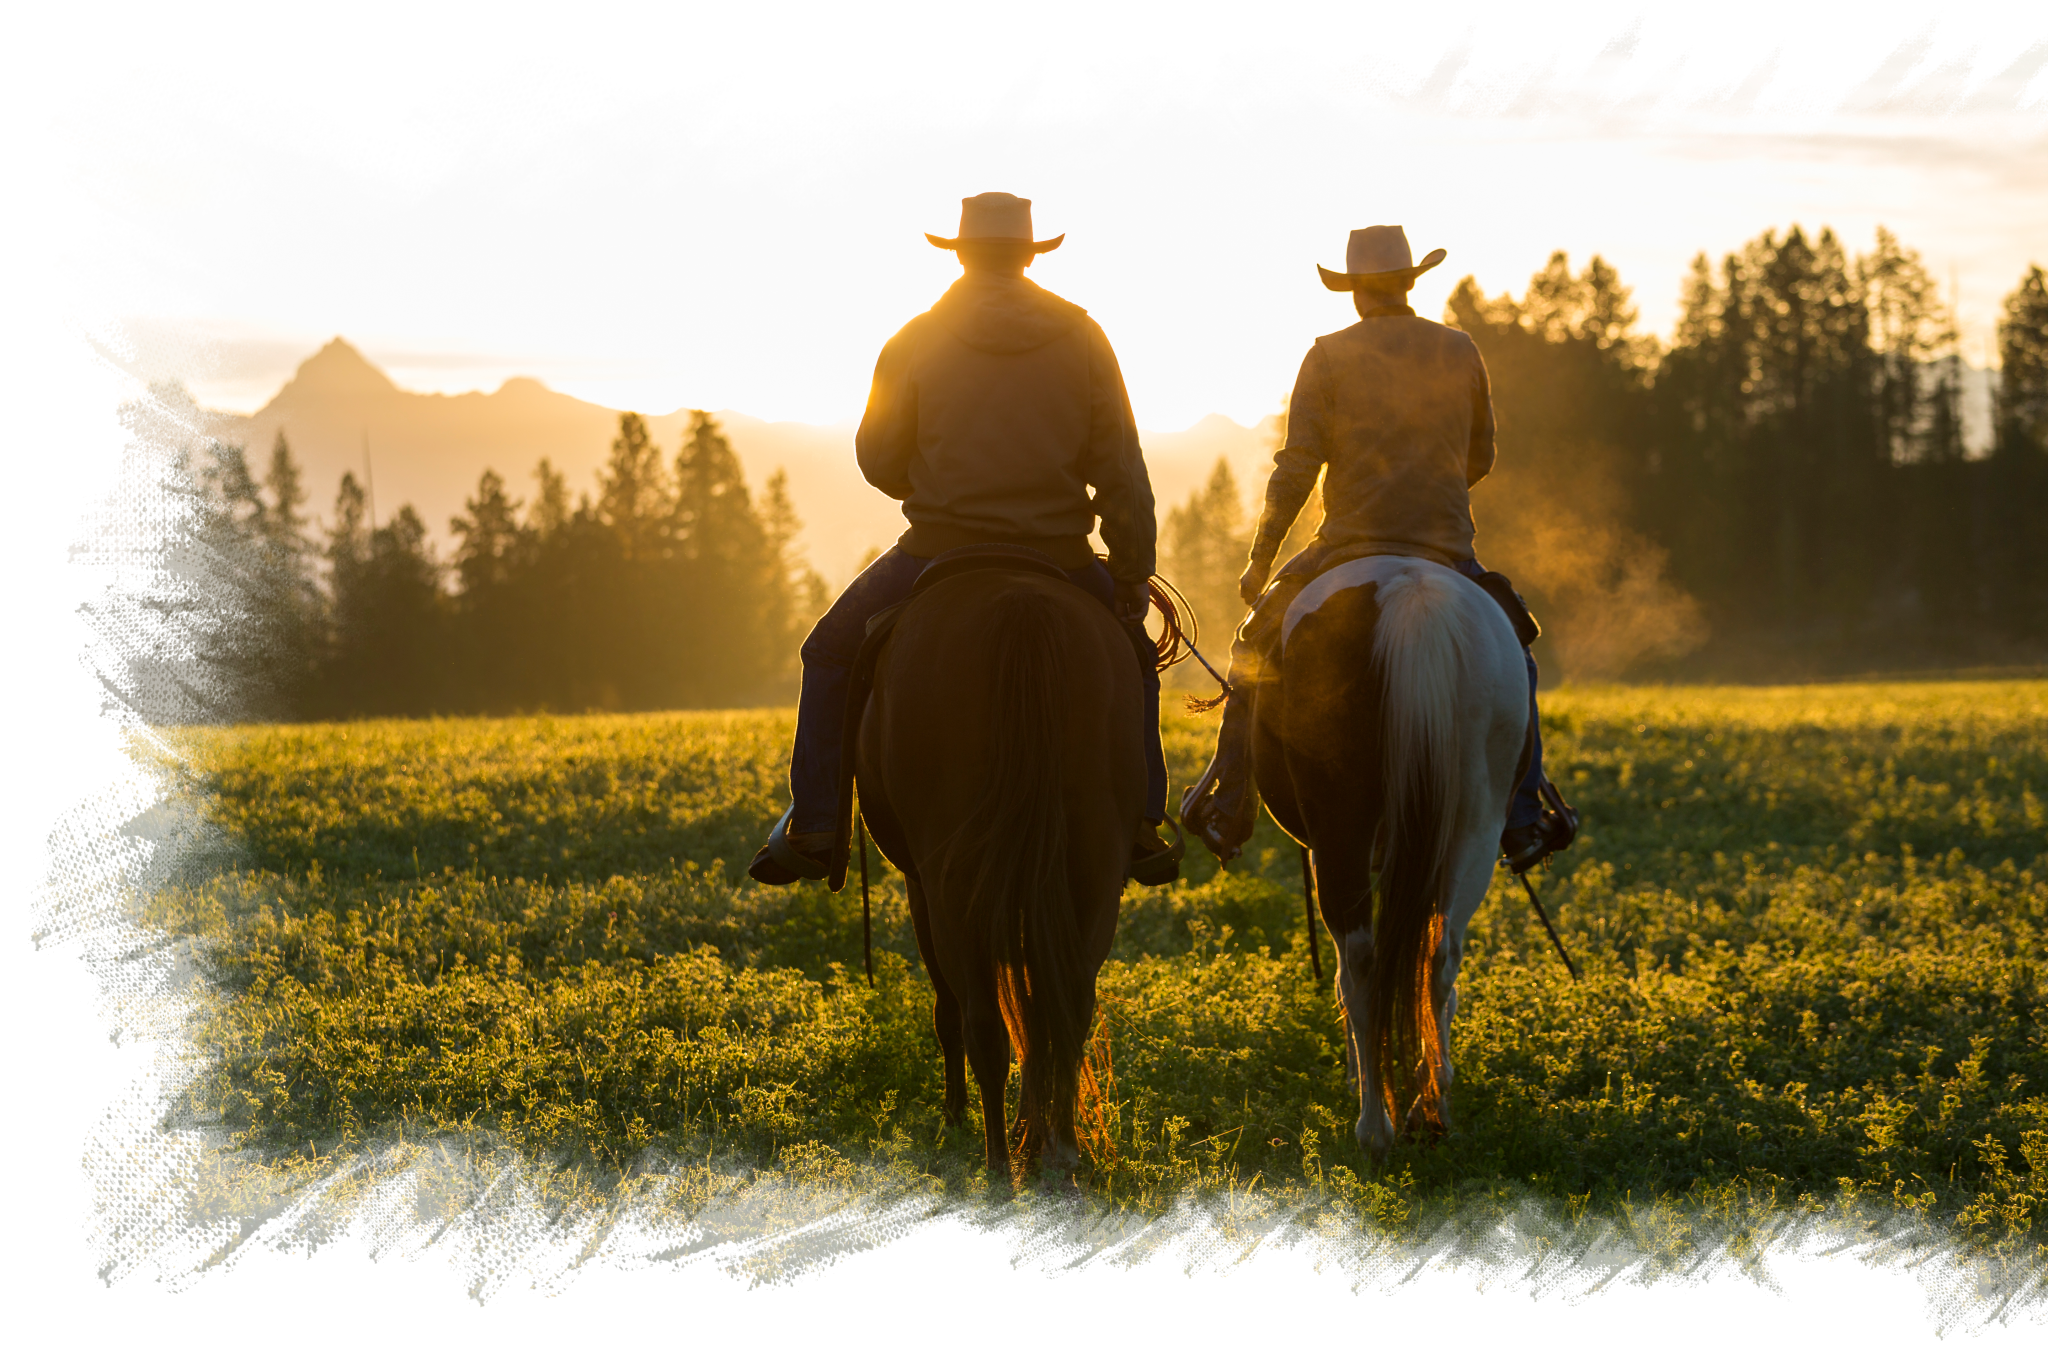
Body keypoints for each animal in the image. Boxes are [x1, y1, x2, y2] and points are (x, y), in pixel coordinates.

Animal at [843, 564, 1146, 1195]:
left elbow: (951, 1011)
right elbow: (1037, 1013)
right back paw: (1059, 1166)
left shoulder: (921, 888)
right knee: (1067, 1004)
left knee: (983, 1021)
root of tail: (1021, 607)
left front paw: (958, 1121)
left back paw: (998, 1171)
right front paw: (1035, 1136)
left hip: (951, 888)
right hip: (1096, 870)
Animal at [1245, 556, 1540, 1154]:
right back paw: (1432, 1108)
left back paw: (1374, 1127)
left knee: (1362, 968)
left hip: (1342, 829)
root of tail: (1410, 596)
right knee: (1441, 958)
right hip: (1475, 825)